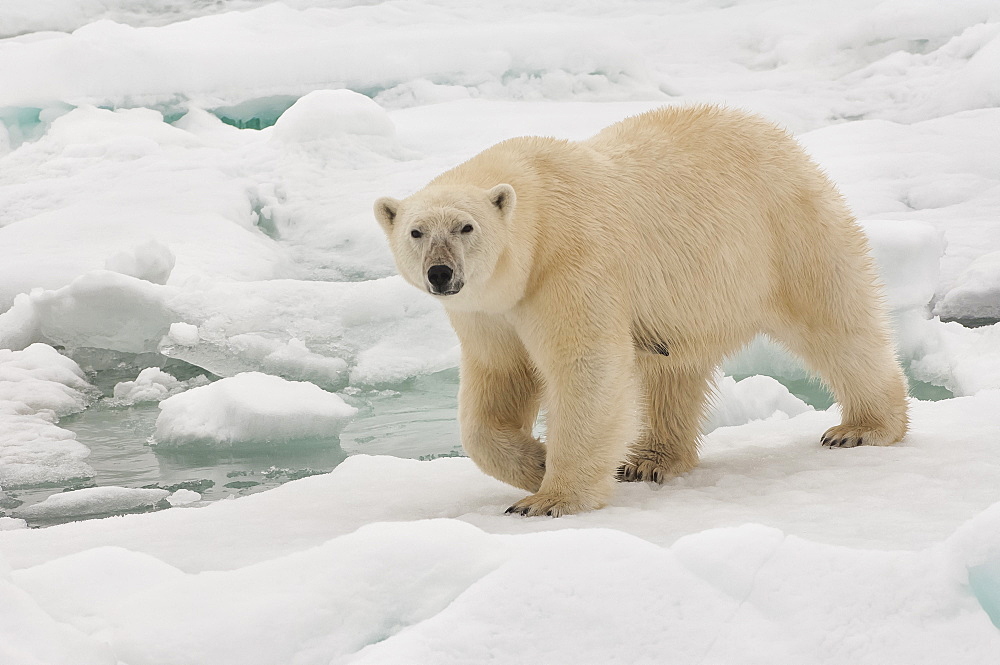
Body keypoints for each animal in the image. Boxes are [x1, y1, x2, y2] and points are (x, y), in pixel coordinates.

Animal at [374, 105, 908, 520]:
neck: (538, 215)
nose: (440, 273)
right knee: (672, 373)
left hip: (786, 232)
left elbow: (585, 367)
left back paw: (861, 428)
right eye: (417, 231)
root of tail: (781, 138)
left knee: (836, 323)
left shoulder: (571, 264)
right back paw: (650, 460)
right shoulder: (490, 309)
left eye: (465, 227)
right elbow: (499, 380)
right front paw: (538, 464)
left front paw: (549, 498)